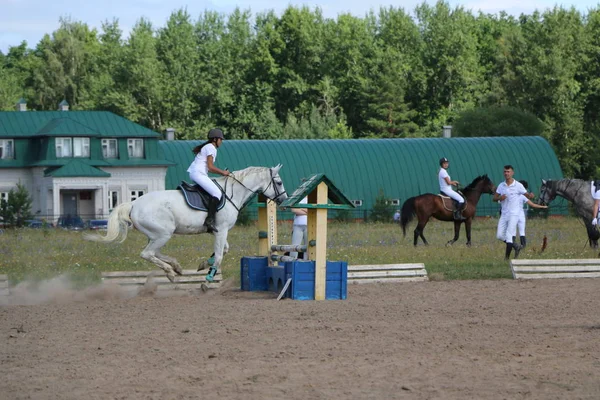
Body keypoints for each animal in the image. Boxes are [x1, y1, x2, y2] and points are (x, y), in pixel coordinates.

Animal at [84, 166, 288, 282]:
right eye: (278, 182)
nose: (283, 200)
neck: (232, 194)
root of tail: (134, 203)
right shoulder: (221, 230)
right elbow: (220, 255)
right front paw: (208, 278)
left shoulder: (218, 231)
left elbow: (223, 250)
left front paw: (205, 264)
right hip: (163, 233)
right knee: (147, 254)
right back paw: (170, 272)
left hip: (156, 235)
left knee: (155, 253)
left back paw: (176, 267)